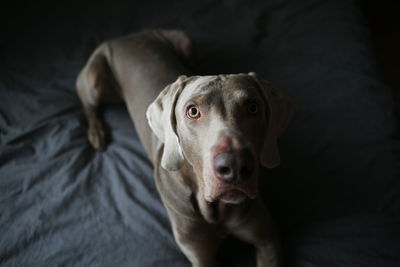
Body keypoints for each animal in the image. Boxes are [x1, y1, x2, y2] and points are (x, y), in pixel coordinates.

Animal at [76, 29, 292, 267]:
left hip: (186, 42)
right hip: (96, 82)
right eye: (193, 111)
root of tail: (127, 35)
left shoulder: (268, 239)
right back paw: (96, 133)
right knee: (84, 94)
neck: (216, 211)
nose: (235, 166)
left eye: (253, 108)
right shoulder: (200, 255)